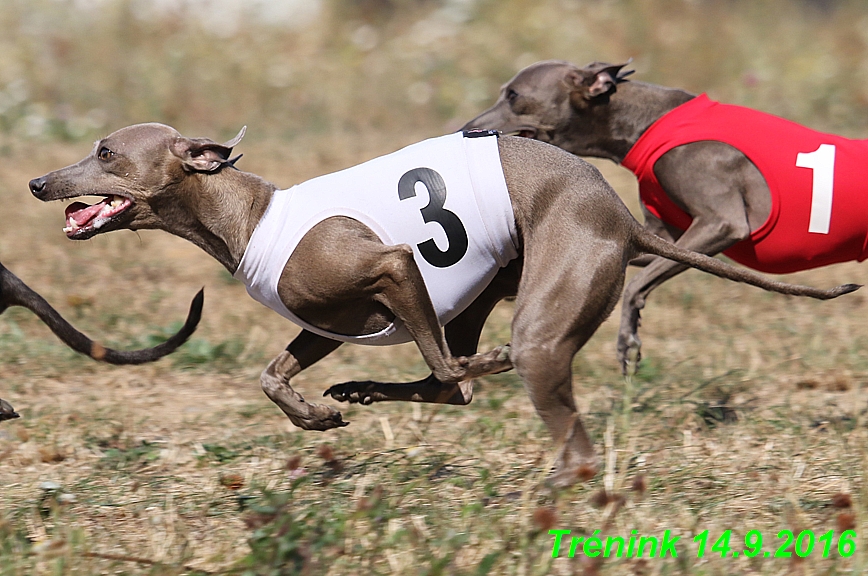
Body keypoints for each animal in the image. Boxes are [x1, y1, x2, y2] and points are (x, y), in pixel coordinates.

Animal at [28, 125, 860, 486]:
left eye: (105, 152)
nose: (38, 182)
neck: (252, 214)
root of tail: (623, 219)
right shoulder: (328, 321)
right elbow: (273, 377)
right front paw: (318, 415)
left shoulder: (393, 267)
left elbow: (450, 367)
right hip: (483, 286)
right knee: (446, 382)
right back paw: (362, 391)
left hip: (531, 307)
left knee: (496, 379)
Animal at [462, 59, 868, 374]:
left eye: (513, 95)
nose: (466, 128)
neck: (646, 119)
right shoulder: (666, 237)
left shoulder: (722, 222)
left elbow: (635, 287)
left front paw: (628, 340)